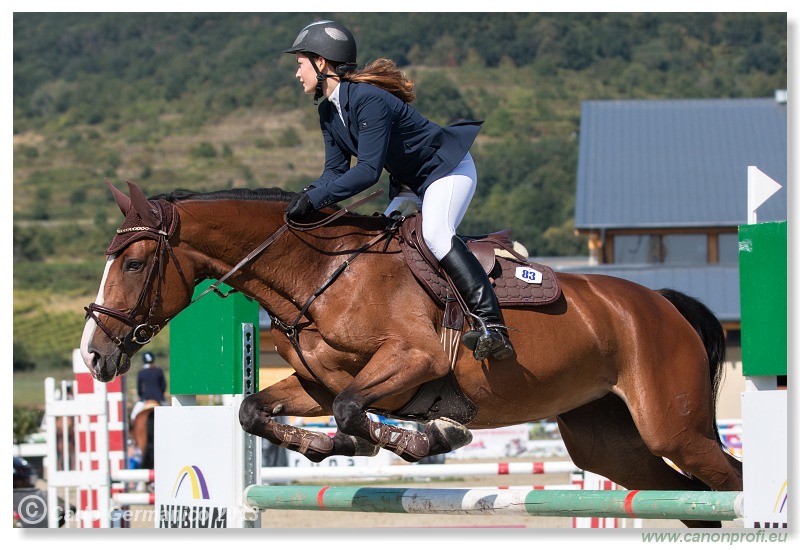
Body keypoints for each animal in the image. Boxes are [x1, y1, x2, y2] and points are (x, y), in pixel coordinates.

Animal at [83, 181, 744, 532]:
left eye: (134, 264)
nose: (94, 357)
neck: (319, 274)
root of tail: (663, 304)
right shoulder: (315, 383)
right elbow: (255, 410)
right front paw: (327, 448)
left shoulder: (412, 362)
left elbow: (354, 410)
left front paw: (429, 437)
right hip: (609, 443)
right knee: (690, 498)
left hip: (671, 425)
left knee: (728, 480)